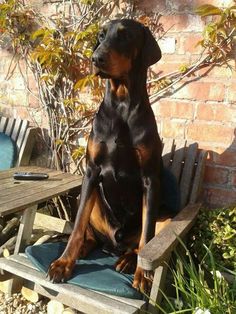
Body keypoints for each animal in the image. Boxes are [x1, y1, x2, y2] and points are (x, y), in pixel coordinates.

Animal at [48, 18, 164, 290]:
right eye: (100, 36)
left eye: (125, 36)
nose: (96, 58)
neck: (121, 104)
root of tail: (114, 245)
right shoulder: (91, 172)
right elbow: (78, 226)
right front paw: (63, 263)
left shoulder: (150, 179)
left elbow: (147, 235)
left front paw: (144, 275)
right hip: (91, 200)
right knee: (90, 234)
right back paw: (83, 250)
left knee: (140, 241)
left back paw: (129, 260)